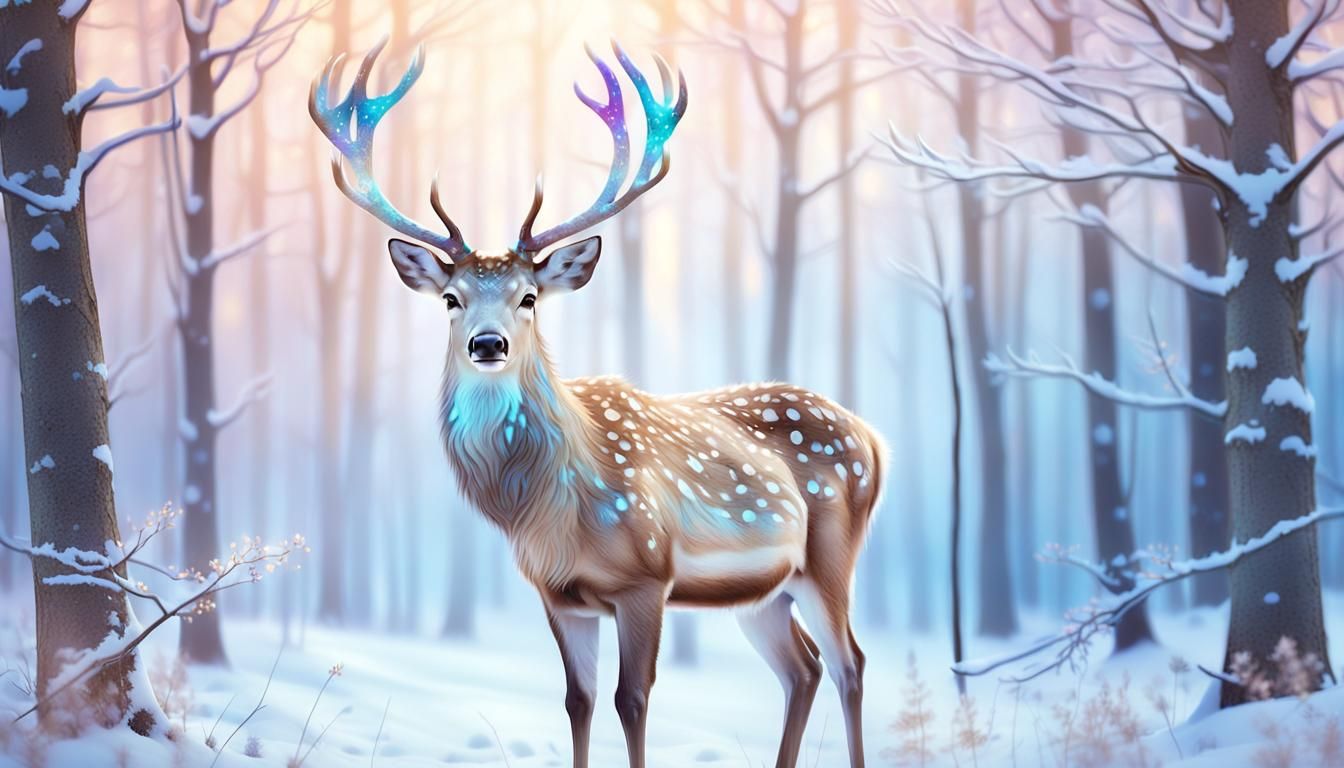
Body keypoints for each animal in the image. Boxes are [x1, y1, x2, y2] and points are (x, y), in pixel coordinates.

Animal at [310, 38, 885, 768]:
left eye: (529, 296)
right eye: (451, 299)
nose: (489, 342)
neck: (548, 510)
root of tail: (874, 440)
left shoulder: (648, 578)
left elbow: (631, 701)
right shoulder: (562, 597)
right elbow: (577, 702)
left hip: (831, 556)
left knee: (850, 664)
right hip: (764, 593)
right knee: (802, 670)